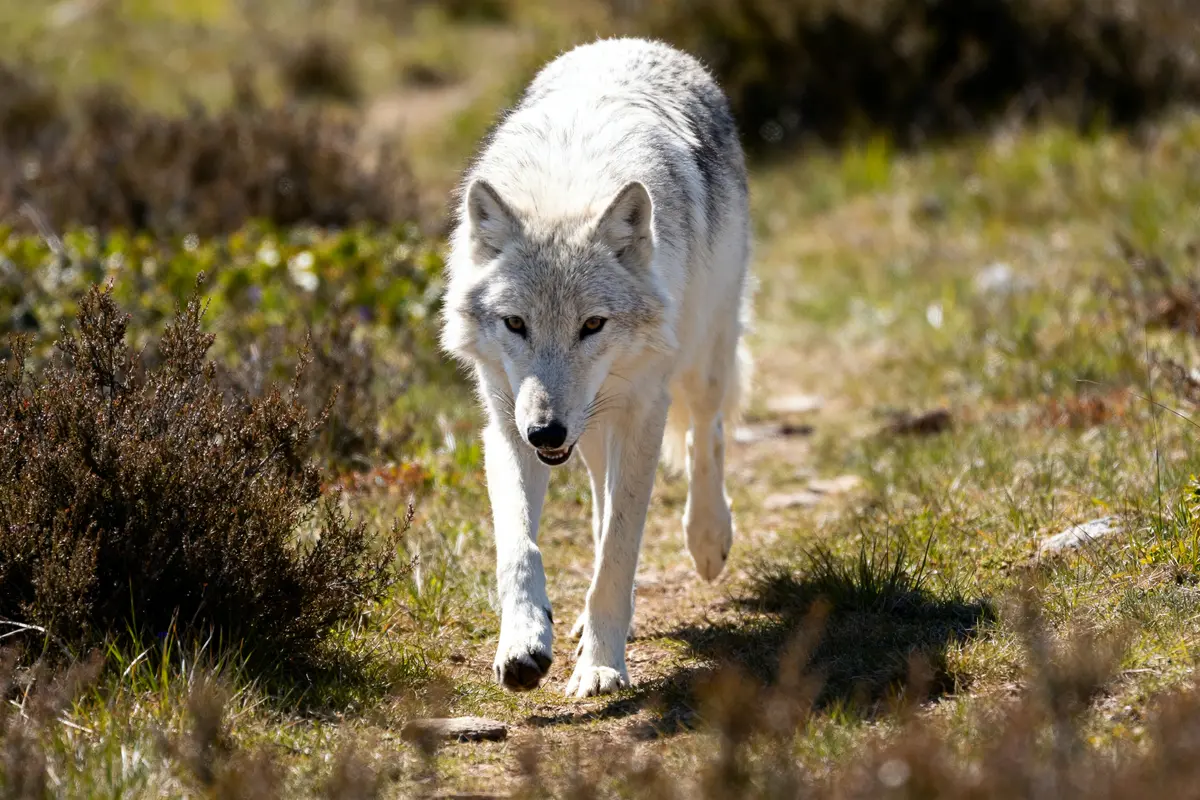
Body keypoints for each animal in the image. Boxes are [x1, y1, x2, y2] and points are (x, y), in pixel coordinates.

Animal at [439, 37, 753, 698]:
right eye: (515, 324)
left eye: (592, 325)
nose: (546, 432)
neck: (566, 183)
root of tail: (635, 42)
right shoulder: (505, 419)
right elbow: (519, 547)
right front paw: (525, 643)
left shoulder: (644, 412)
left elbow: (618, 554)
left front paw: (602, 667)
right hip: (590, 426)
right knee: (601, 498)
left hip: (698, 361)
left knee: (706, 435)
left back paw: (708, 539)